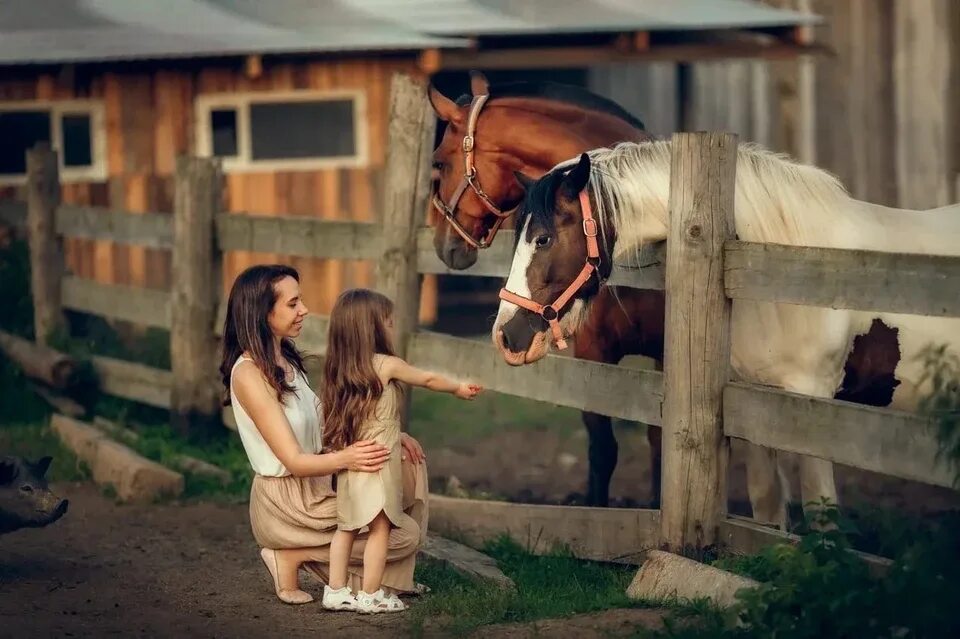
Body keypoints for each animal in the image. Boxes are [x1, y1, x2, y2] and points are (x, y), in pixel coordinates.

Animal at [496, 145, 960, 528]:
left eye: (543, 238)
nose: (507, 337)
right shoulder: (750, 400)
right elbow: (767, 504)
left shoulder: (814, 404)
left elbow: (820, 512)